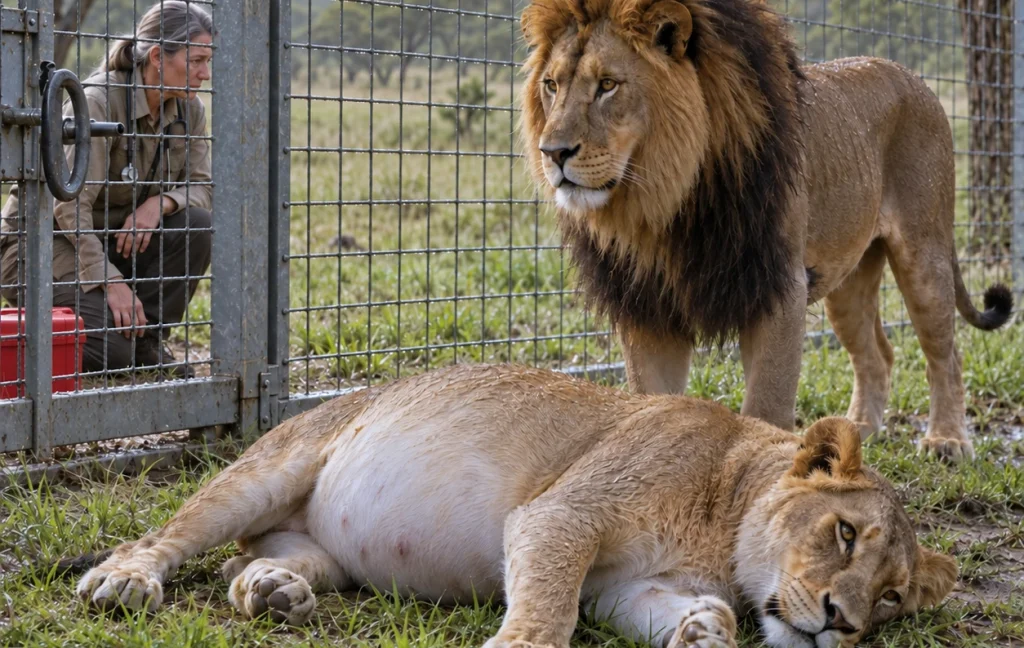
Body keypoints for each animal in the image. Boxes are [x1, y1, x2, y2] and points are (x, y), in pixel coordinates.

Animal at [75, 364, 956, 648]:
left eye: (891, 598)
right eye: (845, 533)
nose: (843, 621)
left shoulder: (621, 586)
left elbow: (660, 609)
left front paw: (703, 629)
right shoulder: (563, 516)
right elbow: (548, 612)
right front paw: (518, 644)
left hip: (313, 544)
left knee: (255, 561)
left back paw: (273, 590)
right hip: (267, 468)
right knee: (172, 535)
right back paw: (125, 581)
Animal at [519, 0, 1014, 462]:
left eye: (608, 85)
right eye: (551, 85)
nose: (552, 153)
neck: (663, 206)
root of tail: (910, 73)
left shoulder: (778, 288)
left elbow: (766, 407)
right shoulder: (648, 307)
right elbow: (651, 405)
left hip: (923, 252)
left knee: (945, 354)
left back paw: (947, 441)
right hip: (847, 283)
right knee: (877, 354)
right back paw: (857, 430)